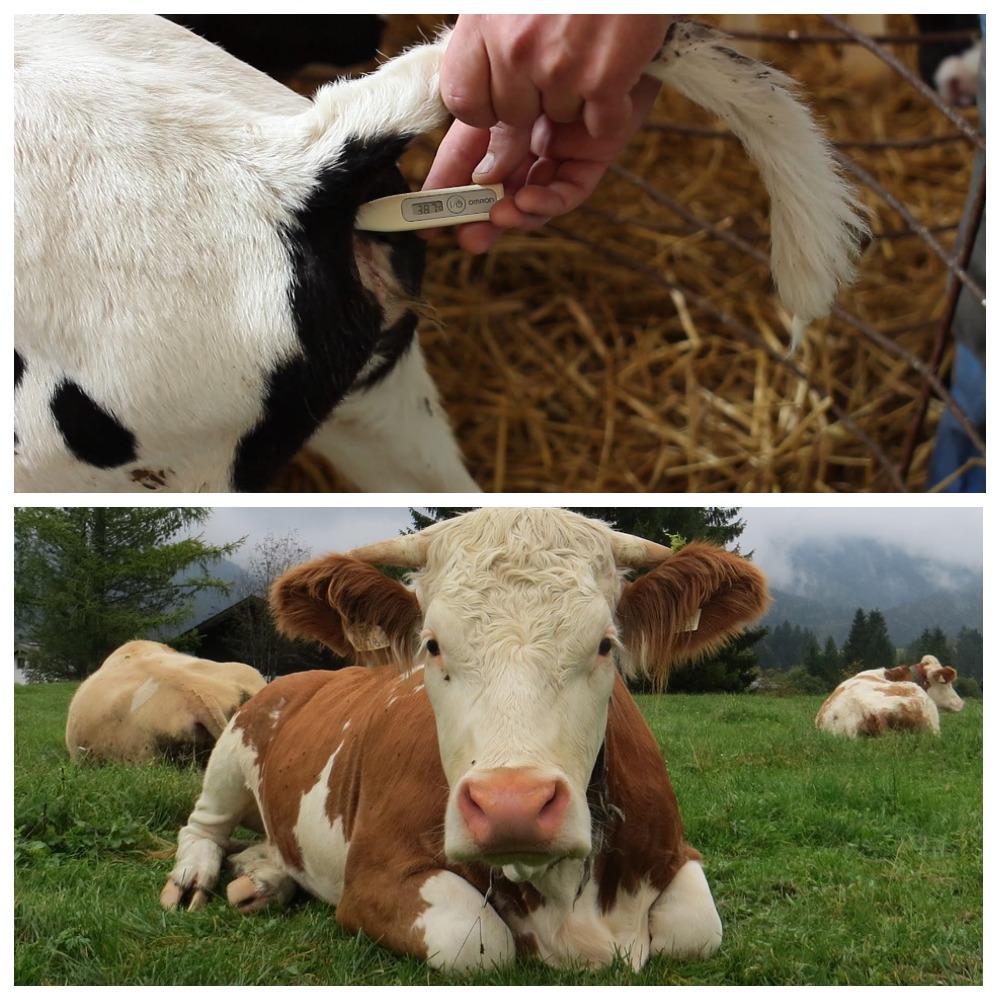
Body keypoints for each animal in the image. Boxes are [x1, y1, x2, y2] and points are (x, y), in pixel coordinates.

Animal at [160, 508, 769, 971]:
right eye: (431, 645)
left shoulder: (678, 855)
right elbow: (476, 940)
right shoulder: (373, 880)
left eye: (604, 644)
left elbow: (697, 928)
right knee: (203, 827)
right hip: (231, 752)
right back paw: (192, 879)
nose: (511, 806)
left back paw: (264, 878)